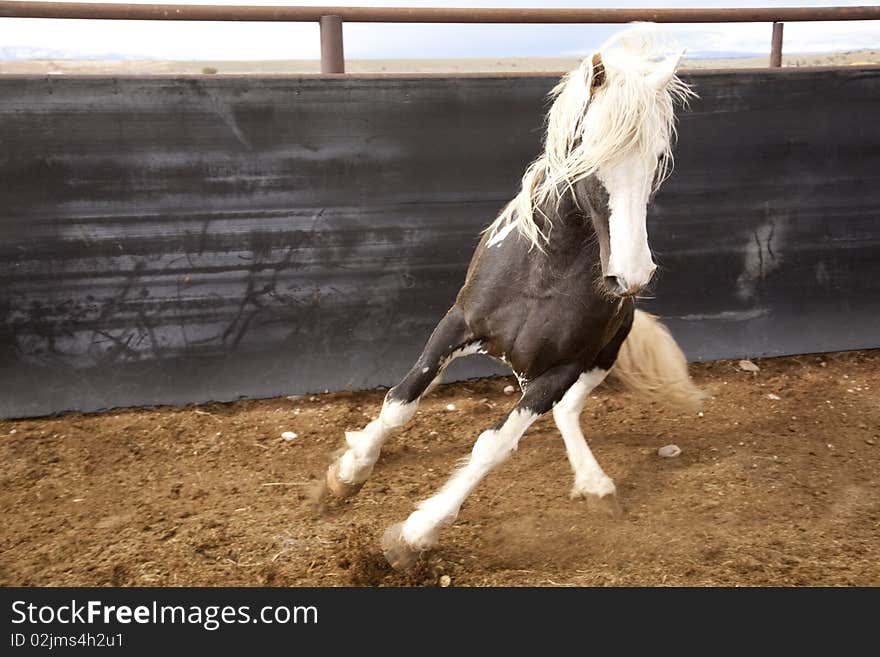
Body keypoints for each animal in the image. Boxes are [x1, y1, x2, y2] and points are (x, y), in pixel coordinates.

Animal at [314, 25, 700, 568]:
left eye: (660, 156)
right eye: (588, 150)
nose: (631, 274)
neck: (544, 275)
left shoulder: (560, 369)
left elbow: (493, 446)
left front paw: (414, 535)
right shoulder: (455, 325)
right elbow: (399, 402)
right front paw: (348, 474)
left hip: (600, 357)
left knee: (566, 411)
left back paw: (596, 485)